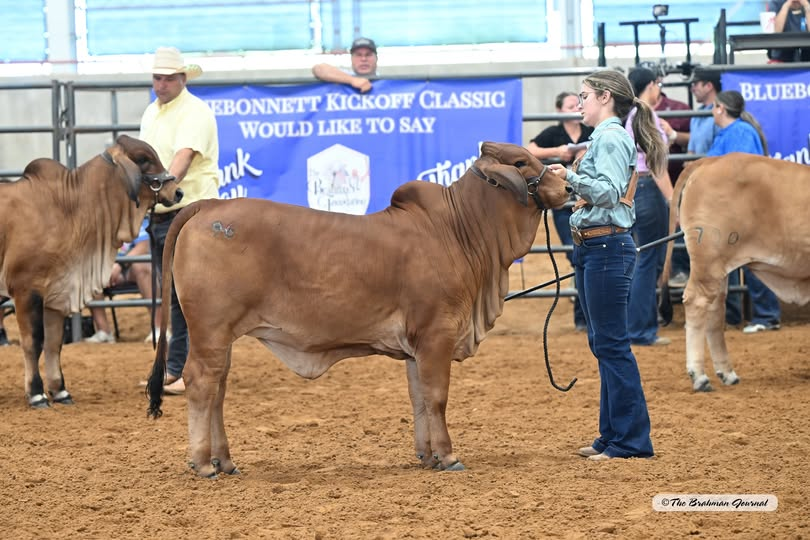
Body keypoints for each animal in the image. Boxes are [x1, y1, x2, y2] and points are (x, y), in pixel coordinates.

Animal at [0, 135, 182, 408]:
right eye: (144, 159)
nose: (178, 191)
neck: (70, 207)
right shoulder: (26, 289)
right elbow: (33, 342)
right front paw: (37, 393)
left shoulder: (57, 291)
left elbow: (53, 344)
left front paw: (61, 391)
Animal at [146, 141, 572, 478]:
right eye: (522, 162)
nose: (568, 185)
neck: (458, 230)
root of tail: (208, 207)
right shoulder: (437, 334)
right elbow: (437, 396)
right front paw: (448, 456)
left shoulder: (416, 347)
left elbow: (419, 398)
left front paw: (427, 455)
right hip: (211, 330)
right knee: (201, 383)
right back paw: (204, 463)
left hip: (222, 337)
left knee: (218, 389)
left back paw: (226, 461)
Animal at [660, 153, 810, 392]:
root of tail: (709, 160)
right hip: (708, 262)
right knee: (697, 303)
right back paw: (699, 376)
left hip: (718, 270)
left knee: (714, 311)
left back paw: (727, 373)